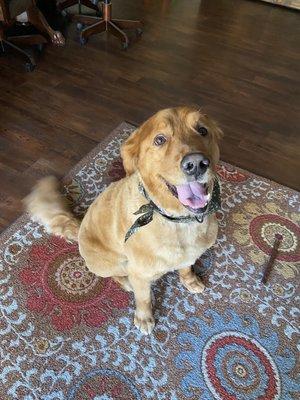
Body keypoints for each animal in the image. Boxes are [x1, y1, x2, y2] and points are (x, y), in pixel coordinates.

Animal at [25, 105, 223, 334]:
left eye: (202, 130)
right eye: (160, 140)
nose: (197, 163)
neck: (178, 220)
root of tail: (80, 226)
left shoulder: (189, 256)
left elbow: (186, 267)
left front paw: (190, 280)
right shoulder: (139, 273)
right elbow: (143, 298)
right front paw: (144, 318)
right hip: (113, 262)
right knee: (115, 275)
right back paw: (126, 282)